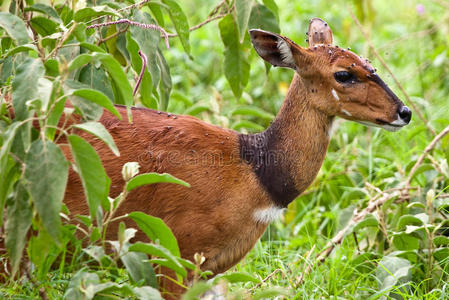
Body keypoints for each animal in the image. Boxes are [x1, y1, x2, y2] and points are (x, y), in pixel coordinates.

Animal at [34, 18, 412, 298]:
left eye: (370, 65)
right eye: (343, 74)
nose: (404, 112)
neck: (252, 169)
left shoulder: (208, 268)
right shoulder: (174, 253)